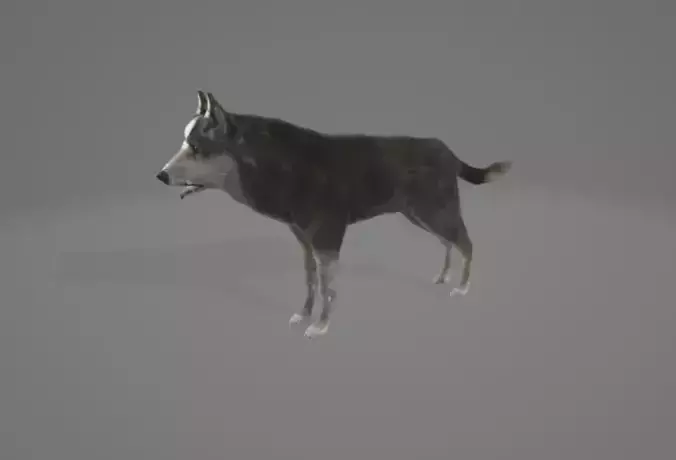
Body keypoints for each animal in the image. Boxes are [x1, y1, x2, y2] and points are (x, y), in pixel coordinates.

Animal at [156, 90, 511, 338]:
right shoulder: (305, 241)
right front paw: (303, 314)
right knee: (448, 243)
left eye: (195, 148)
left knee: (466, 243)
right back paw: (442, 276)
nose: (160, 176)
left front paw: (320, 326)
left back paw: (462, 287)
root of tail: (448, 150)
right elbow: (310, 281)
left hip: (436, 210)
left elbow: (328, 288)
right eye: (184, 144)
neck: (279, 163)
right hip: (420, 214)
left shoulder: (328, 239)